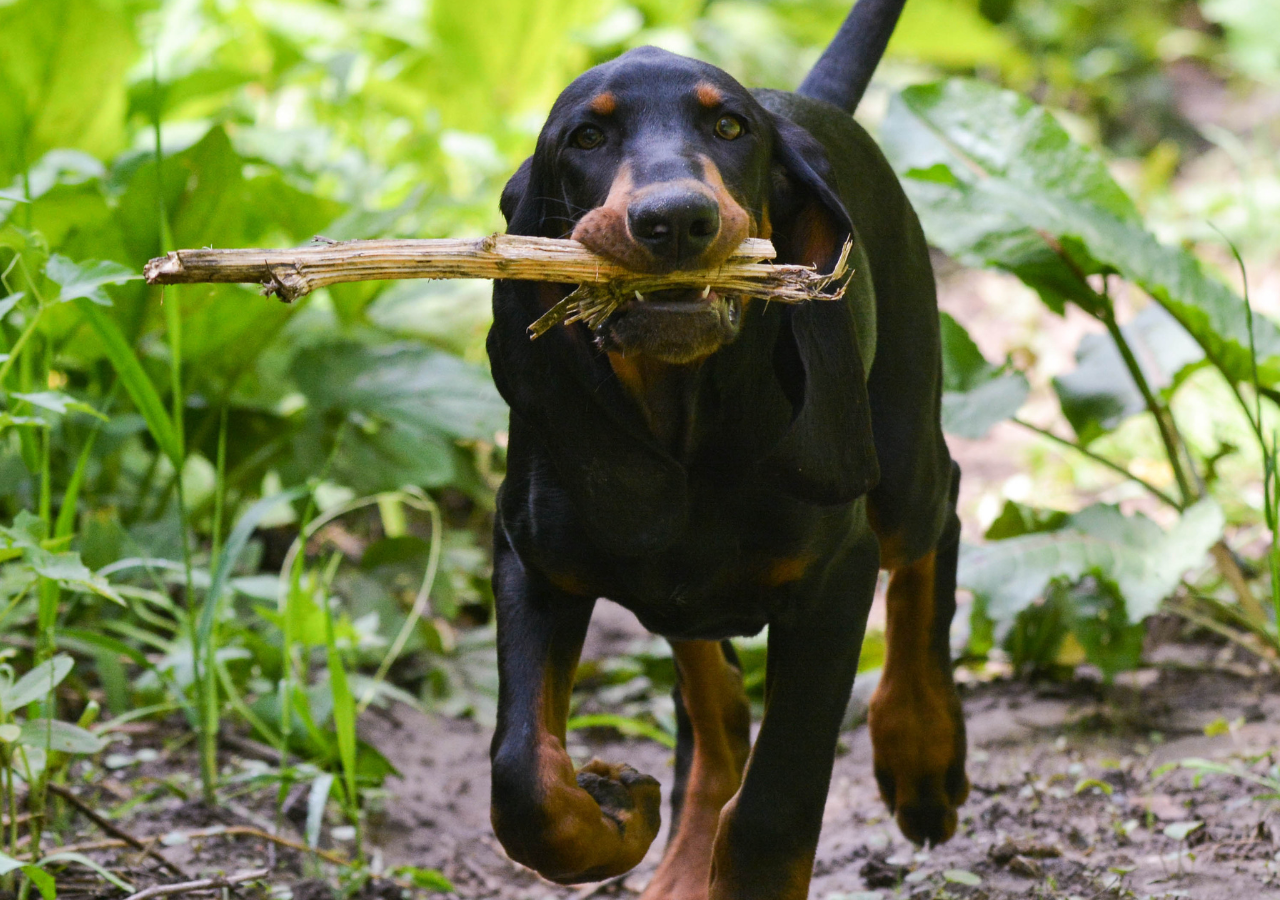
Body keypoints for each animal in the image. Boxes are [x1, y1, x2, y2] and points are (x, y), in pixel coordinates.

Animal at [483, 3, 962, 896]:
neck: (685, 420)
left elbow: (775, 805)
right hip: (673, 582)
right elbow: (523, 782)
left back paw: (922, 752)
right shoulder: (534, 561)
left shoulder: (833, 580)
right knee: (716, 702)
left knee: (934, 514)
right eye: (587, 139)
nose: (676, 219)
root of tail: (809, 103)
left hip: (897, 448)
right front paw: (619, 813)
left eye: (729, 127)